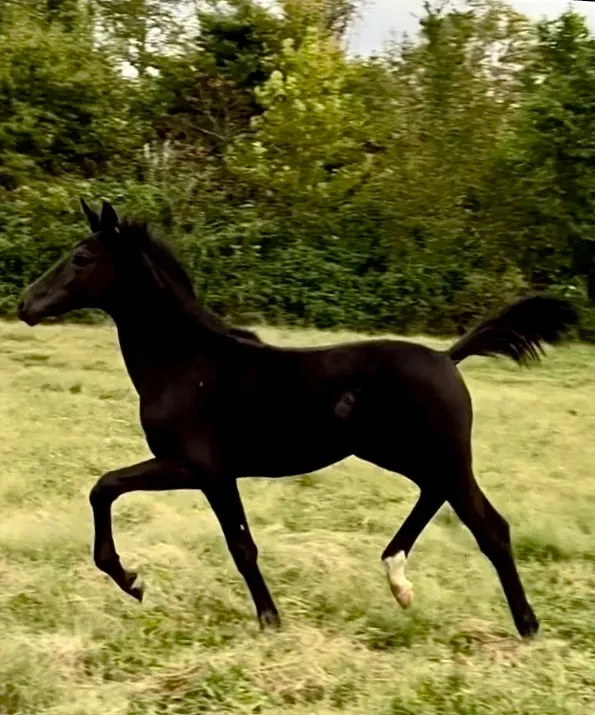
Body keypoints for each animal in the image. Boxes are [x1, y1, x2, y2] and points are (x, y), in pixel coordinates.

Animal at [17, 199, 577, 638]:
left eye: (81, 257)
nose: (26, 304)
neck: (185, 363)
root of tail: (448, 356)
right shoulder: (208, 472)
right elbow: (130, 498)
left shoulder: (200, 468)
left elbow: (208, 532)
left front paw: (257, 618)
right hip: (400, 454)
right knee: (435, 495)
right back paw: (398, 579)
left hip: (440, 456)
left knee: (491, 527)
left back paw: (526, 626)